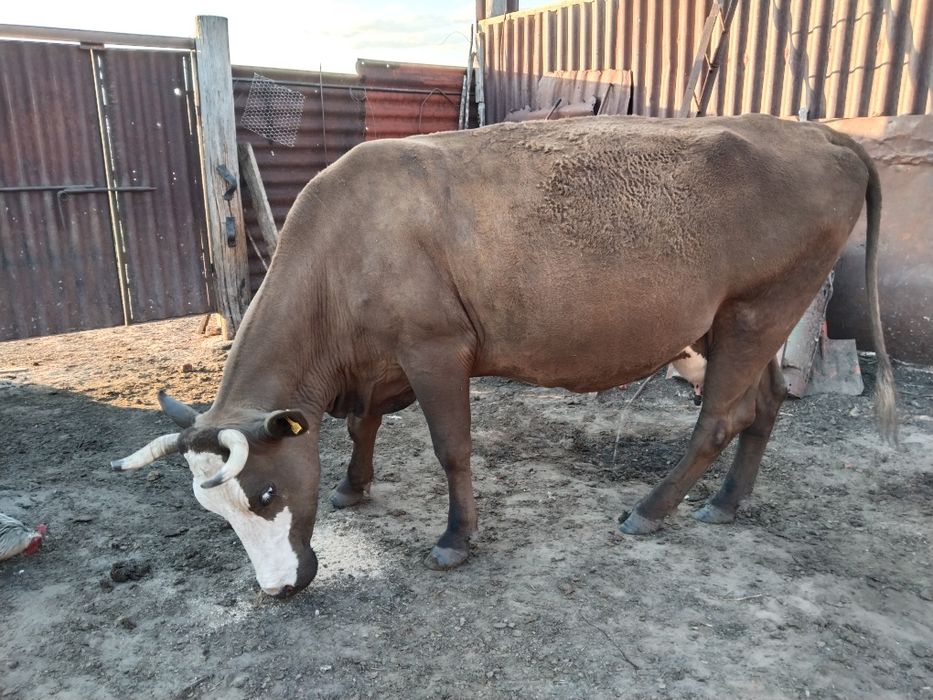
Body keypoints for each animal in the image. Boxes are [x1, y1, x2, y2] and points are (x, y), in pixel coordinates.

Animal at [112, 114, 896, 598]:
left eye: (268, 495)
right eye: (218, 514)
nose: (275, 590)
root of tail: (819, 133)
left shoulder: (436, 347)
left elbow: (451, 448)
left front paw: (456, 538)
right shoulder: (381, 361)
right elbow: (364, 424)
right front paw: (353, 487)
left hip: (759, 309)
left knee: (717, 420)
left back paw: (649, 510)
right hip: (735, 322)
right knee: (763, 405)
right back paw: (728, 502)